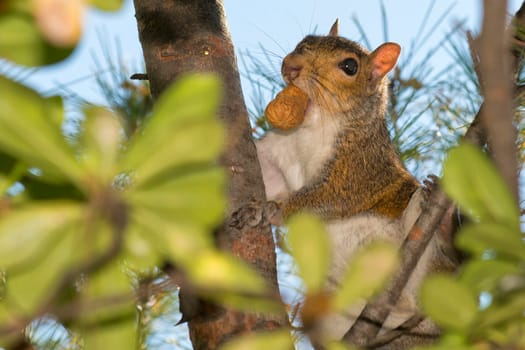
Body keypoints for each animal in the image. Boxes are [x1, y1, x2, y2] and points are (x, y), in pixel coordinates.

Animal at [256, 20, 456, 346]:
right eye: (304, 42)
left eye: (349, 66)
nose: (291, 66)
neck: (314, 124)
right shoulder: (279, 152)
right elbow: (264, 169)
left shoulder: (358, 171)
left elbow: (325, 199)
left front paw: (271, 209)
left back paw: (444, 222)